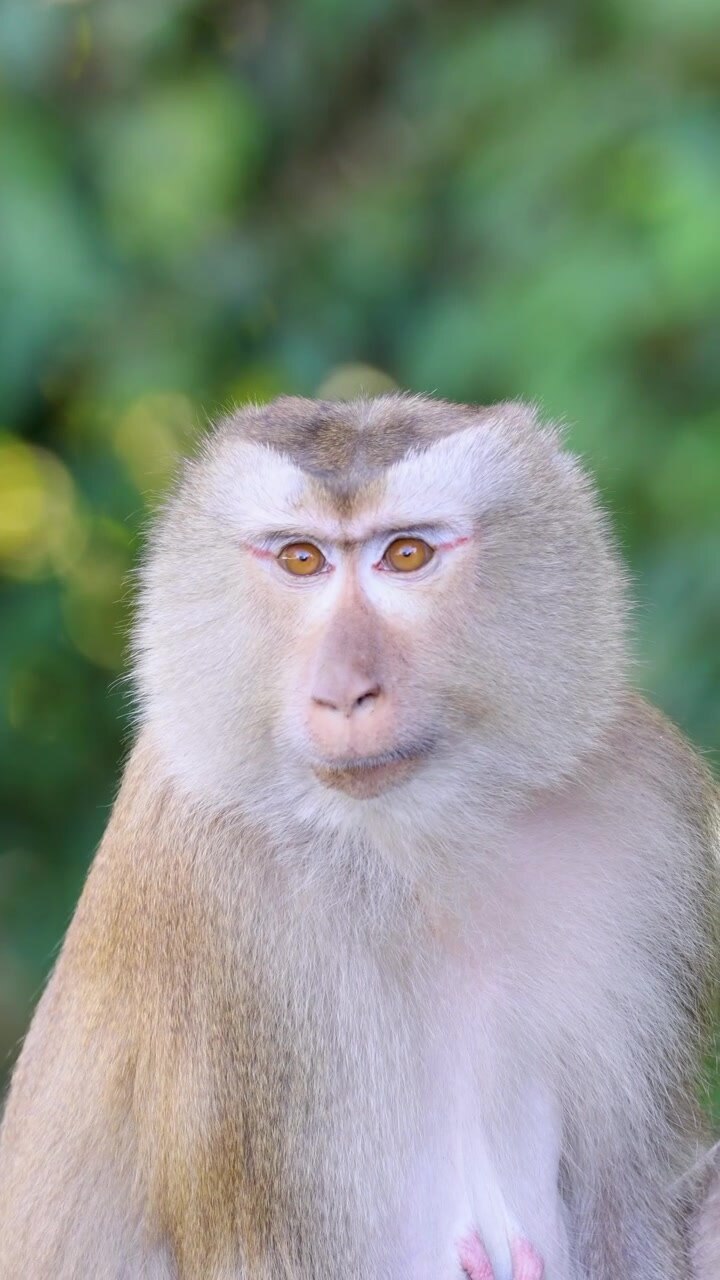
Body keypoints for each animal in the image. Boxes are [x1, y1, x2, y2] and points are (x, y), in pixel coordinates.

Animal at [0, 393, 718, 1279]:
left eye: (405, 554)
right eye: (301, 559)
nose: (344, 690)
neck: (414, 855)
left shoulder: (646, 814)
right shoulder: (204, 892)